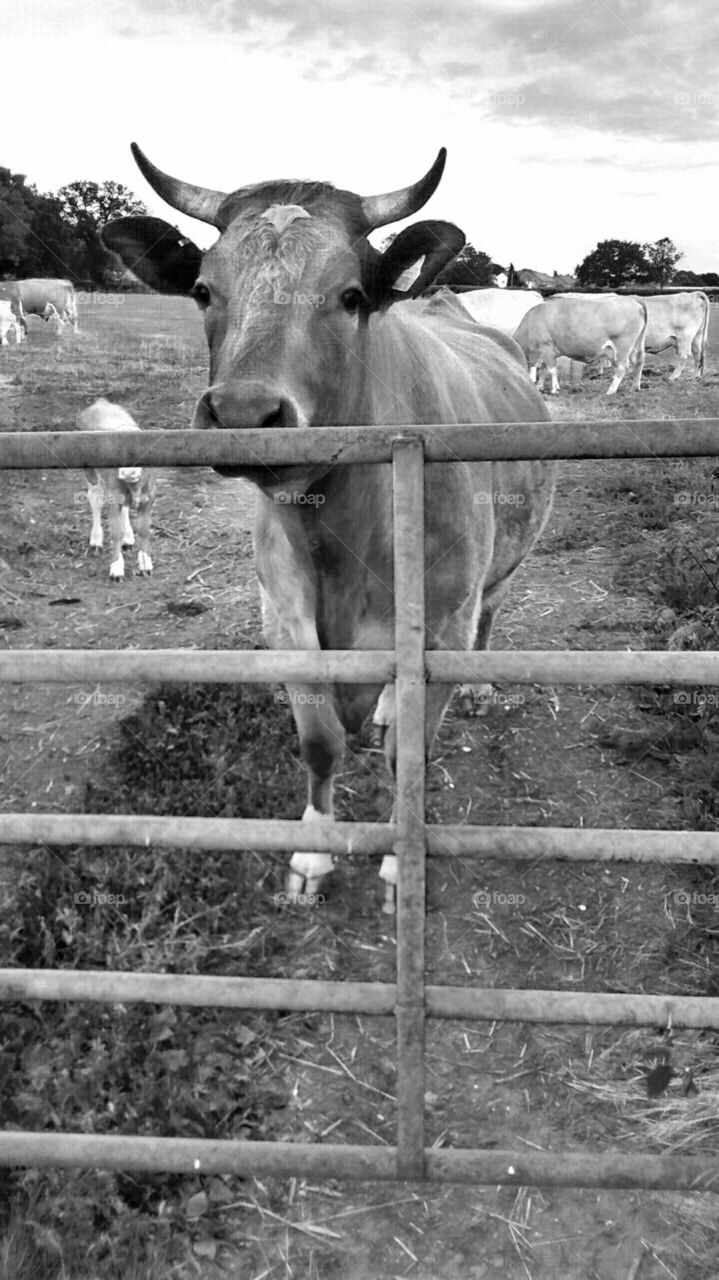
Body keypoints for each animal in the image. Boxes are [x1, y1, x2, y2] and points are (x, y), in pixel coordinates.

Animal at [78, 398, 156, 581]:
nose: (128, 472)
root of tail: (101, 402)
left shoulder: (148, 497)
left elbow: (144, 530)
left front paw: (145, 563)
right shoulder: (112, 498)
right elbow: (115, 532)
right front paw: (116, 567)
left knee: (125, 508)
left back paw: (128, 536)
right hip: (90, 473)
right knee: (95, 500)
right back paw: (96, 539)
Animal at [102, 143, 556, 910]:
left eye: (349, 297)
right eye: (202, 291)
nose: (242, 415)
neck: (341, 536)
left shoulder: (442, 624)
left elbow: (409, 753)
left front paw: (401, 868)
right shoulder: (285, 621)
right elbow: (319, 743)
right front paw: (313, 855)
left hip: (498, 575)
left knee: (491, 615)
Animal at [513, 295, 647, 395]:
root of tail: (634, 301)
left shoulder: (546, 347)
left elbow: (551, 370)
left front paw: (553, 389)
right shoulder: (546, 353)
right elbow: (544, 369)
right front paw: (540, 387)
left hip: (622, 347)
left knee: (622, 367)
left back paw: (611, 390)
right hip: (636, 345)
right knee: (638, 362)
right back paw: (635, 387)